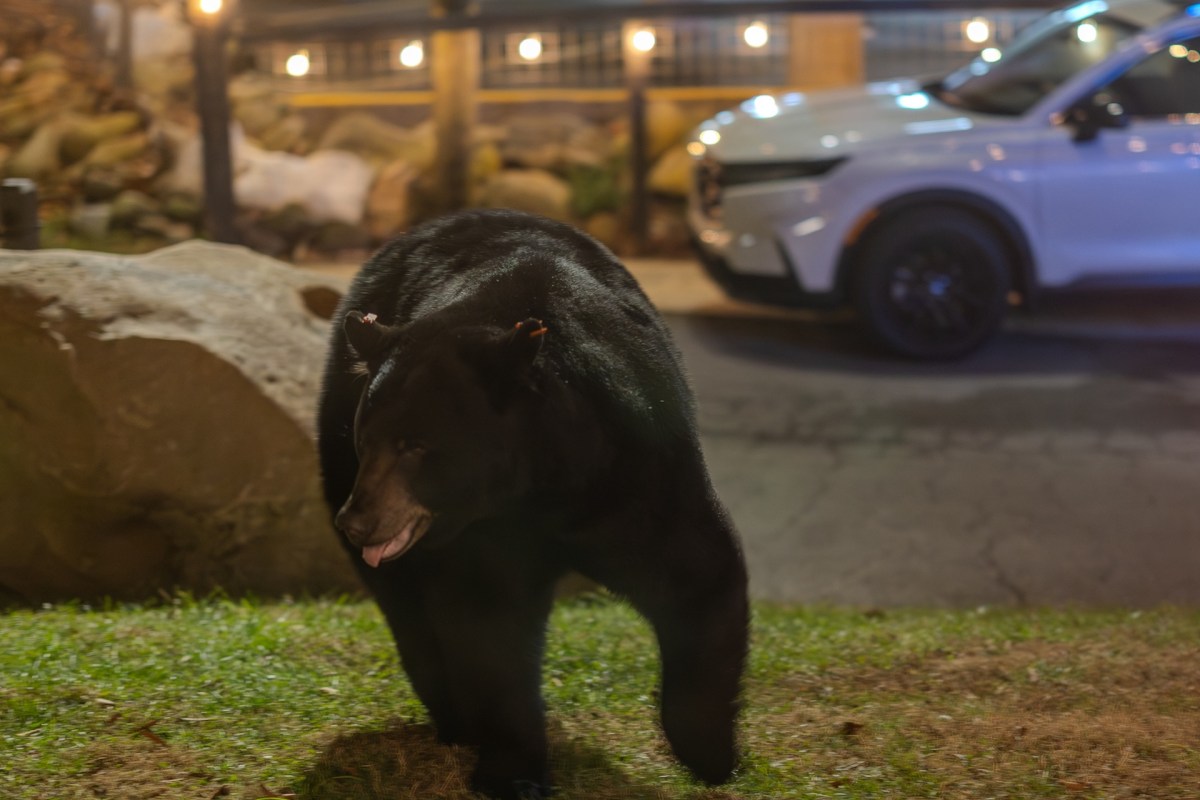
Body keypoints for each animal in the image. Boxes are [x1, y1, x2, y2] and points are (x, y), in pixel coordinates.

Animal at [316, 209, 749, 799]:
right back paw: (455, 719)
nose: (356, 522)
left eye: (416, 444)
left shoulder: (639, 464)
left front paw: (709, 754)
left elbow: (695, 573)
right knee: (410, 615)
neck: (542, 486)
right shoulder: (484, 534)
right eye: (367, 436)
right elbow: (489, 628)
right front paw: (512, 772)